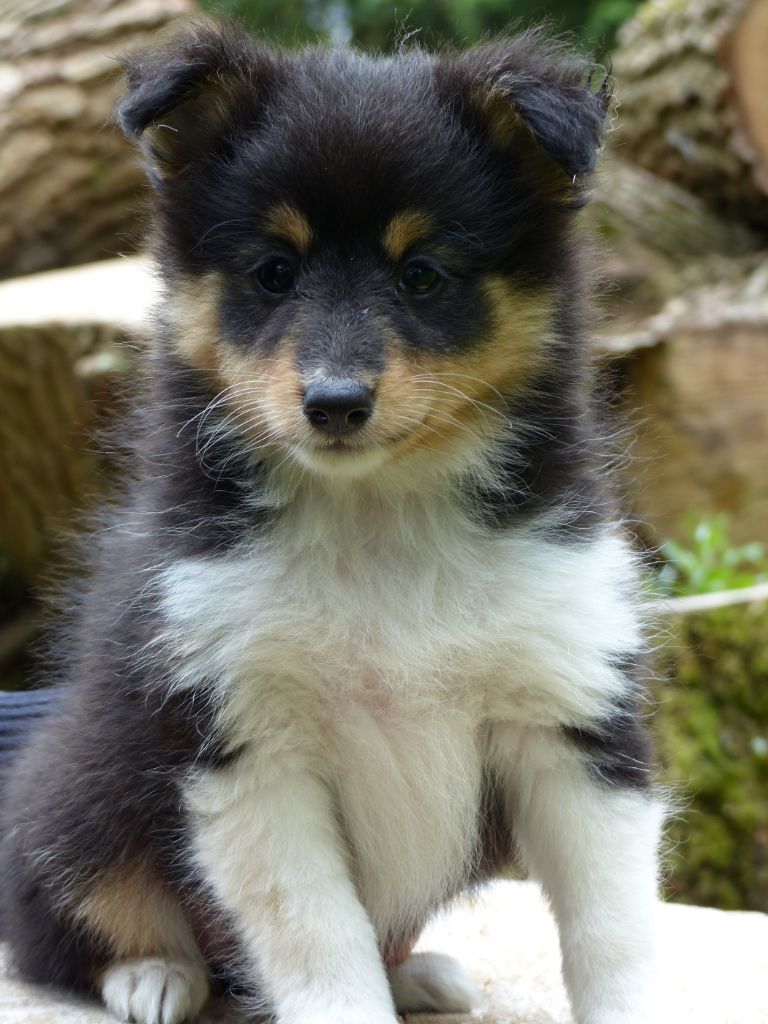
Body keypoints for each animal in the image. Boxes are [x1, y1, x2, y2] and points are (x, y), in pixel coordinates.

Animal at [0, 22, 663, 1024]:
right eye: (275, 273)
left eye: (421, 276)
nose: (336, 404)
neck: (379, 513)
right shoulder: (245, 747)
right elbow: (318, 937)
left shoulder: (570, 712)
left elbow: (613, 928)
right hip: (76, 788)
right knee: (70, 917)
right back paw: (153, 977)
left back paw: (419, 974)